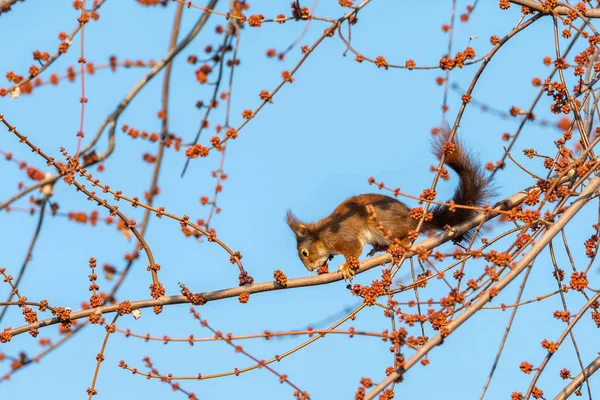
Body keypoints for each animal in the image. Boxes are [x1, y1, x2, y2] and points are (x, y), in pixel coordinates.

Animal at [288, 128, 492, 282]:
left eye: (304, 253)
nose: (309, 269)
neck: (322, 236)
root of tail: (411, 218)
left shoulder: (342, 237)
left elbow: (353, 249)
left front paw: (346, 266)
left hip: (383, 223)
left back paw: (399, 243)